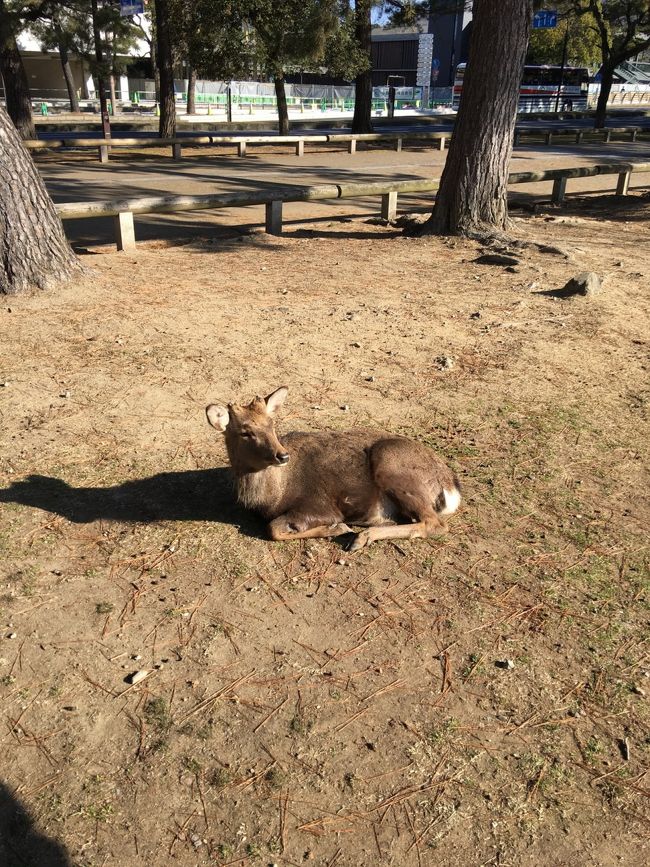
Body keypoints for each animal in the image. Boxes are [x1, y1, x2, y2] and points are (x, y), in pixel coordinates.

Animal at [205, 388, 458, 552]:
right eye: (245, 432)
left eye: (272, 424)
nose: (282, 455)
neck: (272, 496)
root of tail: (451, 488)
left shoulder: (319, 505)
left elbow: (273, 528)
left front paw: (337, 528)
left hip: (391, 464)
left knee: (435, 523)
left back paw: (361, 538)